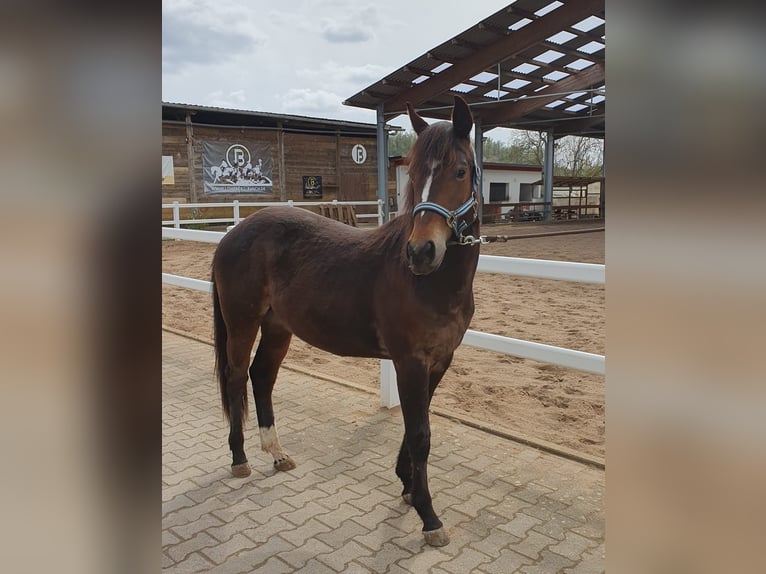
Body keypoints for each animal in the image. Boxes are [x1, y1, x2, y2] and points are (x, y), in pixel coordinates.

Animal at [211, 95, 480, 546]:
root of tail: (232, 234)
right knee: (235, 377)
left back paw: (277, 454)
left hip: (278, 328)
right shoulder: (409, 362)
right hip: (242, 323)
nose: (421, 251)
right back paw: (240, 458)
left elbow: (417, 424)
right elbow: (420, 433)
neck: (429, 283)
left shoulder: (440, 360)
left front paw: (407, 486)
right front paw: (429, 516)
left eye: (460, 171)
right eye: (414, 173)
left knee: (261, 376)